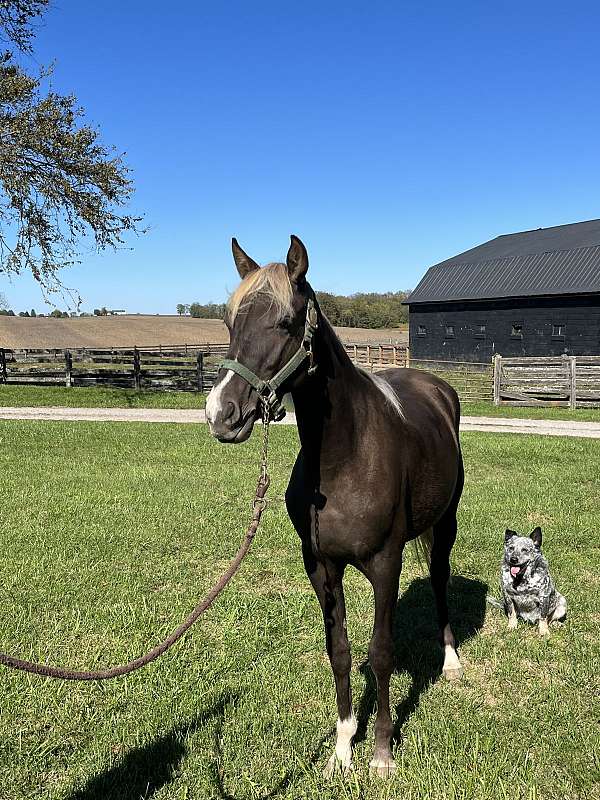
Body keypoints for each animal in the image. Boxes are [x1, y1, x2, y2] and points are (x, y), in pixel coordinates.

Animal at [206, 234, 464, 780]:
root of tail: (437, 387)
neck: (345, 456)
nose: (222, 413)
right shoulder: (321, 566)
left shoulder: (386, 564)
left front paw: (382, 752)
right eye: (229, 322)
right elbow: (340, 652)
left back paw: (451, 661)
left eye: (285, 322)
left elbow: (381, 653)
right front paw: (344, 746)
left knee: (439, 580)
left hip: (445, 523)